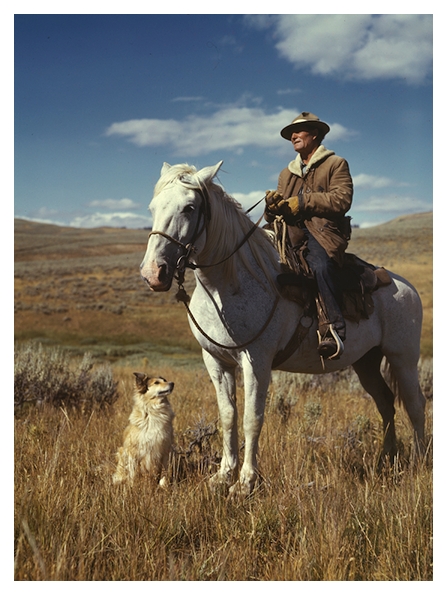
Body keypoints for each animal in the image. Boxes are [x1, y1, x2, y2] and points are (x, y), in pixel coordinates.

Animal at [141, 161, 428, 496]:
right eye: (152, 207)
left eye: (189, 207)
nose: (153, 273)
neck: (230, 282)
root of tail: (404, 286)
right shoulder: (215, 361)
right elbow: (228, 416)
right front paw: (223, 476)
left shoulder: (257, 360)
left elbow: (252, 418)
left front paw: (245, 482)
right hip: (366, 361)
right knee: (385, 403)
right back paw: (386, 460)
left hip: (402, 357)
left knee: (415, 405)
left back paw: (419, 462)